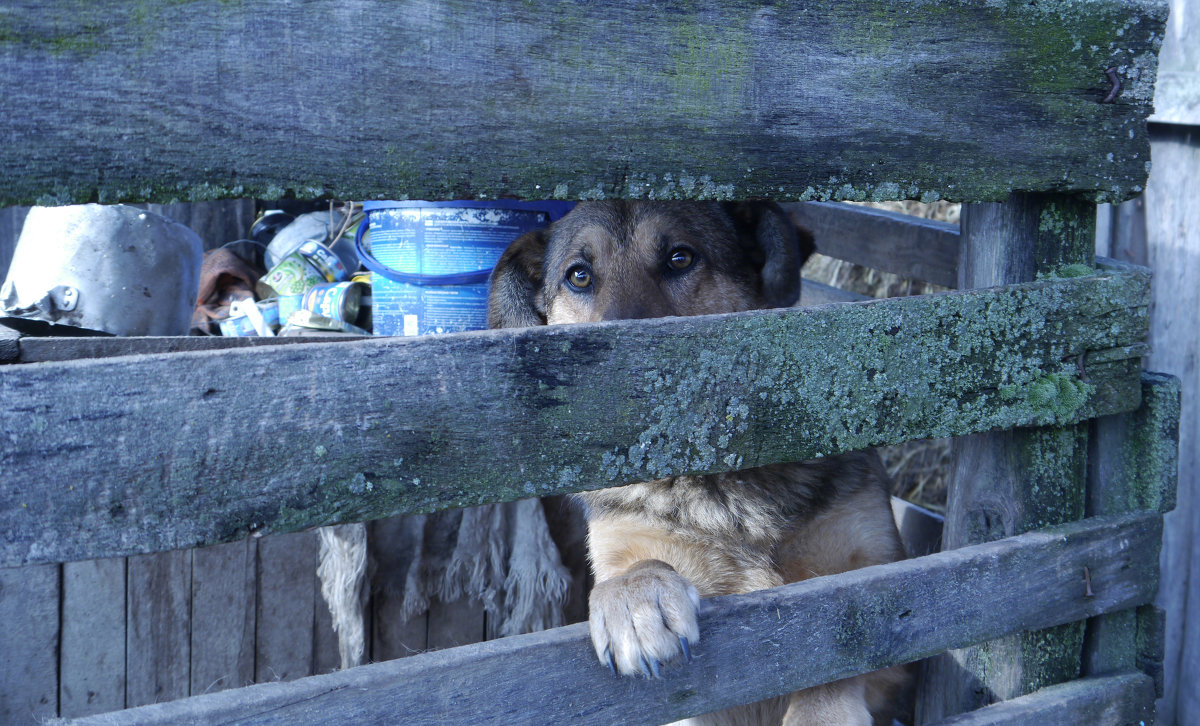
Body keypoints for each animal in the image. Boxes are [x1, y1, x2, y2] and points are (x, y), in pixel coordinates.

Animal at [487, 199, 907, 724]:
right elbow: (637, 566)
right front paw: (634, 594)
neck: (727, 490)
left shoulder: (876, 583)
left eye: (680, 258)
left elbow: (842, 652)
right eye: (579, 275)